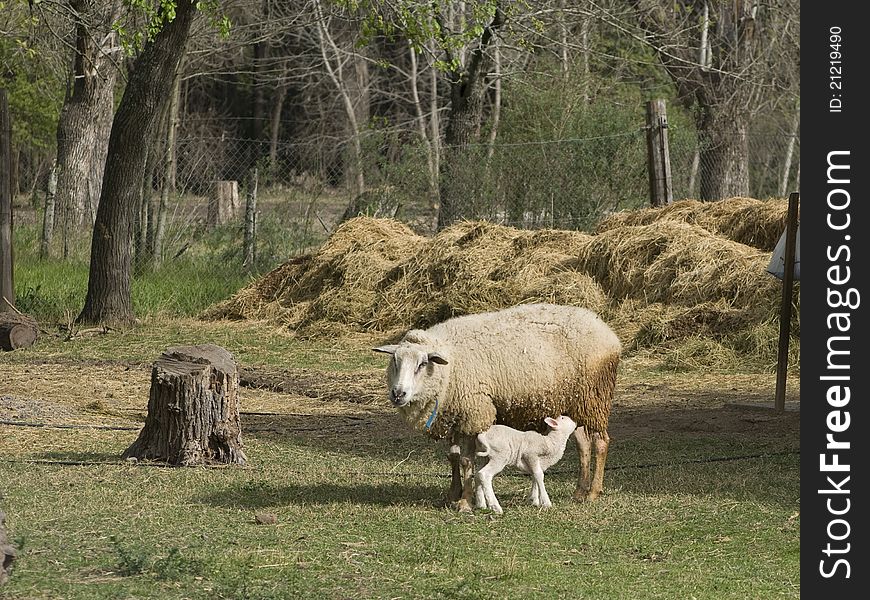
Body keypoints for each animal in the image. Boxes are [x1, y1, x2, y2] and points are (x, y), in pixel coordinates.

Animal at [374, 302, 620, 512]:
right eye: (395, 361)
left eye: (422, 364)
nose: (398, 394)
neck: (450, 365)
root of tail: (607, 332)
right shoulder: (453, 415)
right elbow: (453, 457)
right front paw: (452, 496)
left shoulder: (474, 413)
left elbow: (466, 461)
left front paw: (465, 502)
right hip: (574, 405)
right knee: (583, 445)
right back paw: (579, 492)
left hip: (595, 398)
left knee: (600, 442)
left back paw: (593, 492)